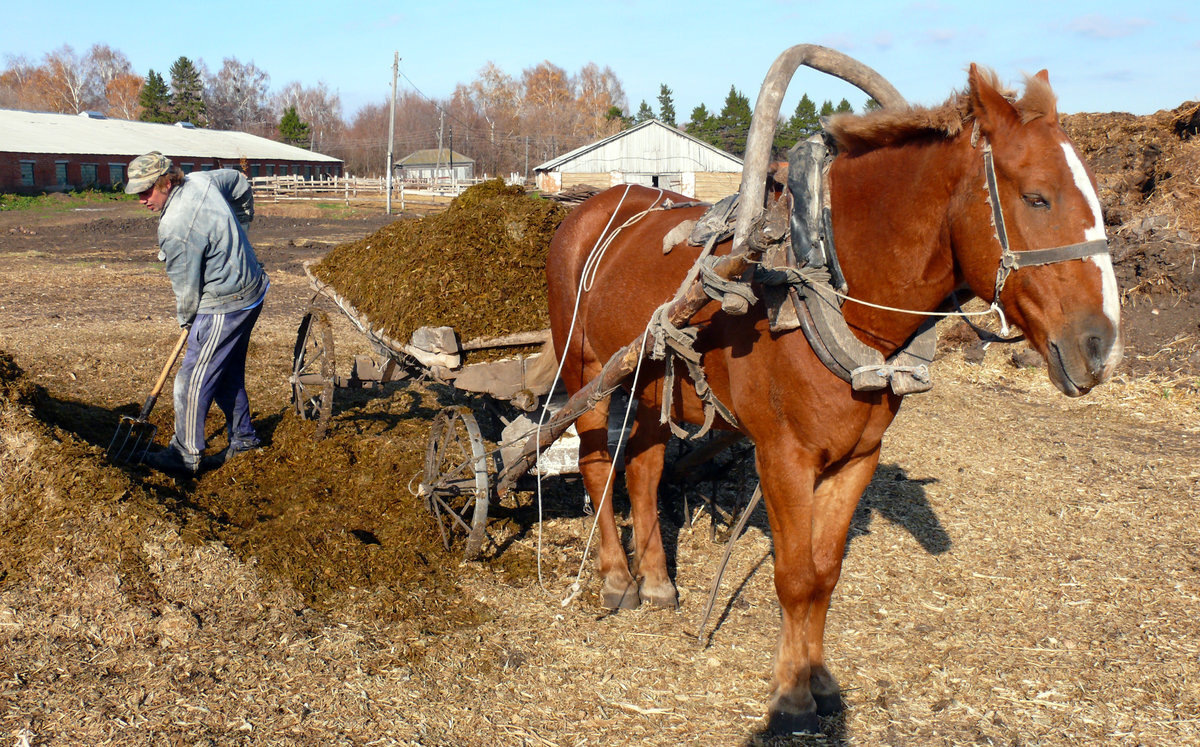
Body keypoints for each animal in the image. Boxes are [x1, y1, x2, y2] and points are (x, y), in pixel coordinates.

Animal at [547, 60, 1123, 739]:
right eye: (1037, 197)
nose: (1100, 346)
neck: (825, 282)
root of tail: (589, 210)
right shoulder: (783, 458)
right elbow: (795, 577)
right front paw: (789, 696)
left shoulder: (856, 459)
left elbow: (825, 574)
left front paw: (818, 679)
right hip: (585, 371)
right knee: (595, 464)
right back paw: (615, 577)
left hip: (652, 377)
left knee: (644, 468)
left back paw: (658, 581)